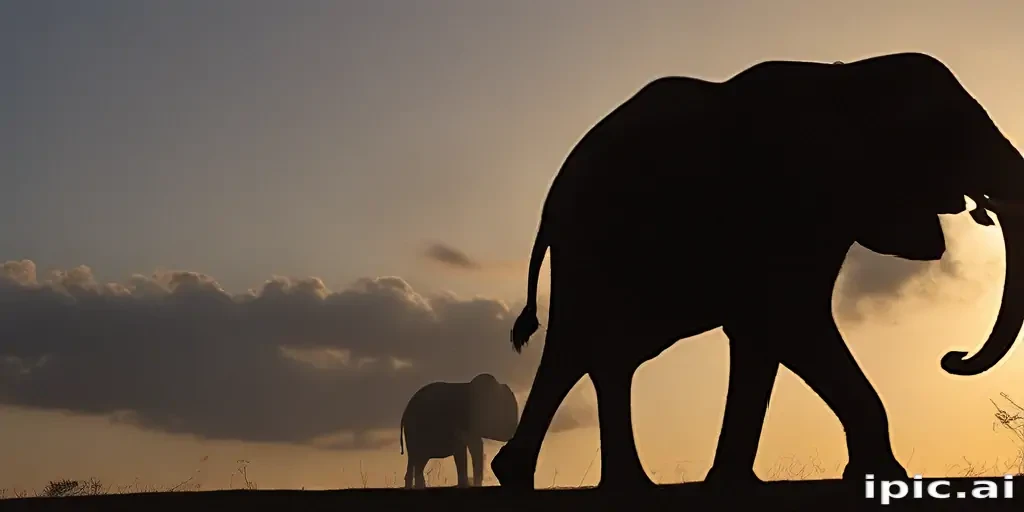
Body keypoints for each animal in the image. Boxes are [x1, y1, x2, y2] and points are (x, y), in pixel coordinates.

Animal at [488, 52, 1024, 492]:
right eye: (948, 132)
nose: (951, 357)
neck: (846, 78)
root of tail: (551, 202)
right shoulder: (787, 200)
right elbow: (790, 320)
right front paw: (882, 476)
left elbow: (763, 333)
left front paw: (731, 482)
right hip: (592, 246)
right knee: (581, 344)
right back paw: (547, 479)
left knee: (602, 352)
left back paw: (604, 483)